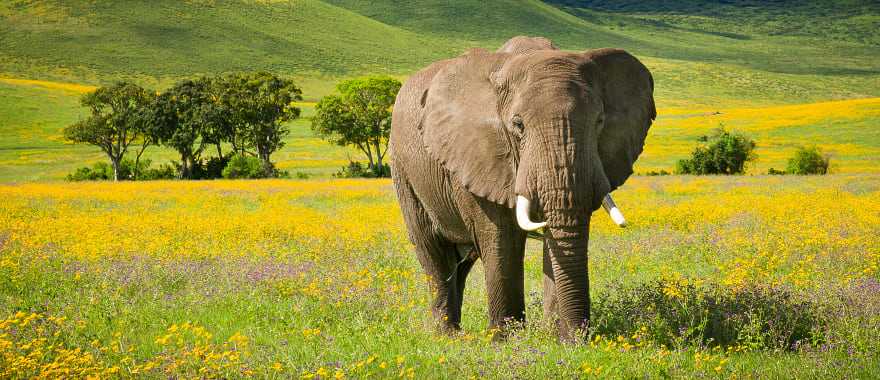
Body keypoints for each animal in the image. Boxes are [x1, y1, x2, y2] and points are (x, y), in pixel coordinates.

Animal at [390, 35, 652, 338]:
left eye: (599, 121)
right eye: (518, 125)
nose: (579, 338)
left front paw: (553, 337)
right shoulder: (478, 156)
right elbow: (501, 239)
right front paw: (506, 339)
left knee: (461, 263)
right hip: (403, 172)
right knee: (434, 253)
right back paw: (449, 336)